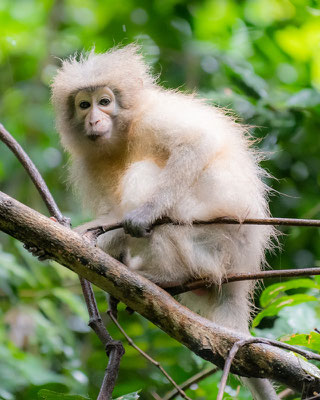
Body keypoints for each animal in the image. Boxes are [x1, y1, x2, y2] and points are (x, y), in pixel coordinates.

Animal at [51, 45, 278, 398]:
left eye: (105, 102)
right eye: (84, 105)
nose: (94, 119)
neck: (125, 133)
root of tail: (240, 274)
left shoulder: (151, 119)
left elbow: (198, 143)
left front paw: (144, 214)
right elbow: (112, 216)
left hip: (210, 240)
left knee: (145, 173)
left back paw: (165, 275)